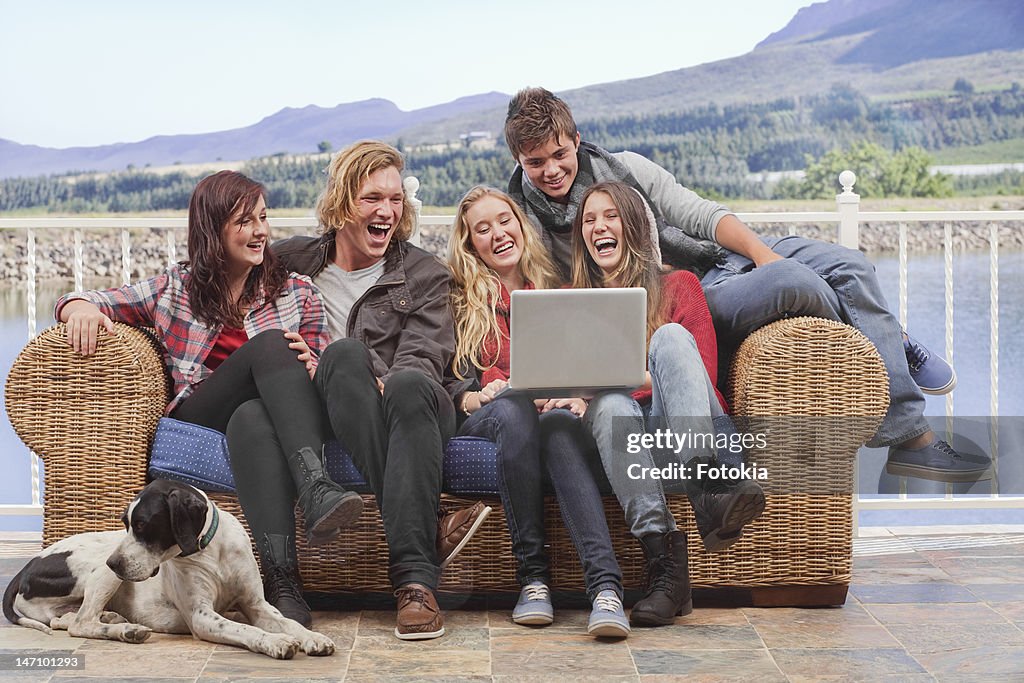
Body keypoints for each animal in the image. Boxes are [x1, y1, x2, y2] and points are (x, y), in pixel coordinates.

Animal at [3, 479, 335, 659]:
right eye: (125, 524)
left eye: (141, 525)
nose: (115, 561)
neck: (211, 552)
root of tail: (27, 566)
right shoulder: (202, 617)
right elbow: (245, 628)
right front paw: (274, 641)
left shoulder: (256, 605)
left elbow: (288, 623)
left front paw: (312, 637)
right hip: (101, 571)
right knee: (80, 624)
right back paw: (127, 630)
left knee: (66, 620)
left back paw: (115, 619)